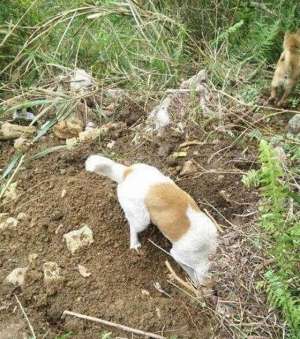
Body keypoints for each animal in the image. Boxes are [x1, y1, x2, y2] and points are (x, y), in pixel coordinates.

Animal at [85, 155, 217, 286]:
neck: (208, 250)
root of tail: (126, 172)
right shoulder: (178, 255)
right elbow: (189, 270)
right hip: (142, 220)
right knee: (132, 226)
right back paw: (134, 244)